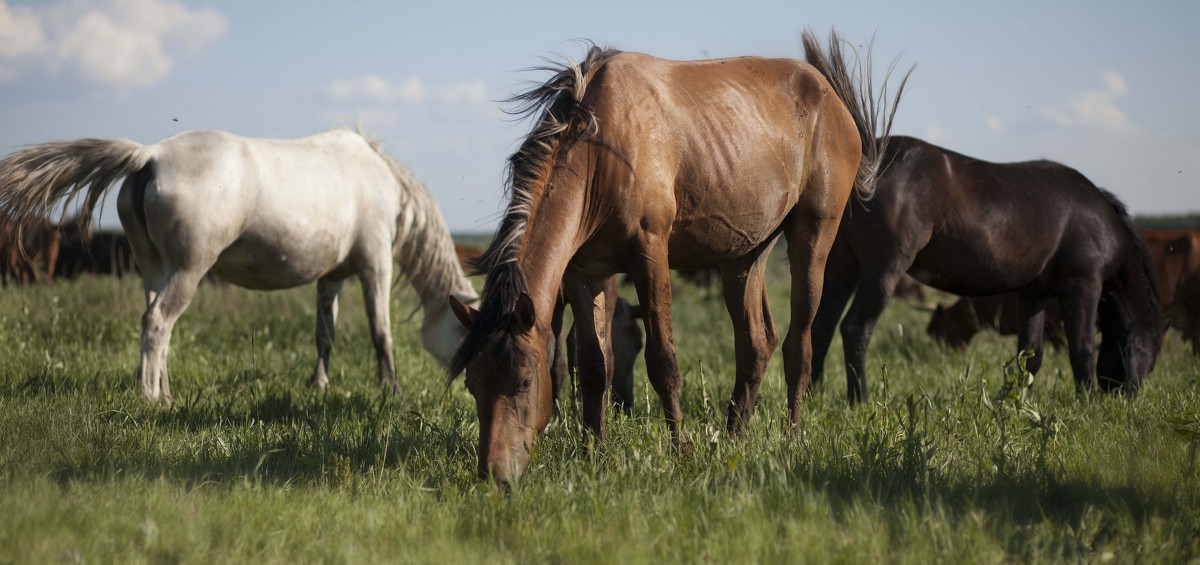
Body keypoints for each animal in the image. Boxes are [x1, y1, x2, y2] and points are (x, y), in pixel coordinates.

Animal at [0, 129, 477, 403]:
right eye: (463, 332)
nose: (471, 386)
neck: (377, 174)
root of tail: (150, 156)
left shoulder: (331, 278)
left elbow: (325, 335)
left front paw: (319, 386)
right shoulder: (375, 264)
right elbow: (382, 333)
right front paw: (391, 390)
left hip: (155, 270)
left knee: (155, 323)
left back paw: (164, 391)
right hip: (189, 271)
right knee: (158, 322)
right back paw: (152, 398)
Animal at [451, 30, 907, 484]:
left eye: (525, 382)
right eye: (473, 384)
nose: (494, 475)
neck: (601, 149)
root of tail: (832, 98)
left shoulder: (650, 256)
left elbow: (662, 361)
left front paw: (681, 452)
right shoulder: (585, 274)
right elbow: (594, 365)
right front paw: (592, 454)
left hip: (812, 239)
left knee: (800, 345)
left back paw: (792, 439)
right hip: (744, 256)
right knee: (756, 344)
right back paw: (733, 438)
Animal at [811, 137, 1156, 403]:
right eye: (1151, 358)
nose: (1128, 397)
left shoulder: (1033, 295)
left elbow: (1030, 355)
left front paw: (1018, 401)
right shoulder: (1084, 286)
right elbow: (1082, 348)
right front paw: (1088, 402)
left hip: (841, 268)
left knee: (821, 326)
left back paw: (814, 394)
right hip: (882, 272)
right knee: (855, 329)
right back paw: (860, 401)